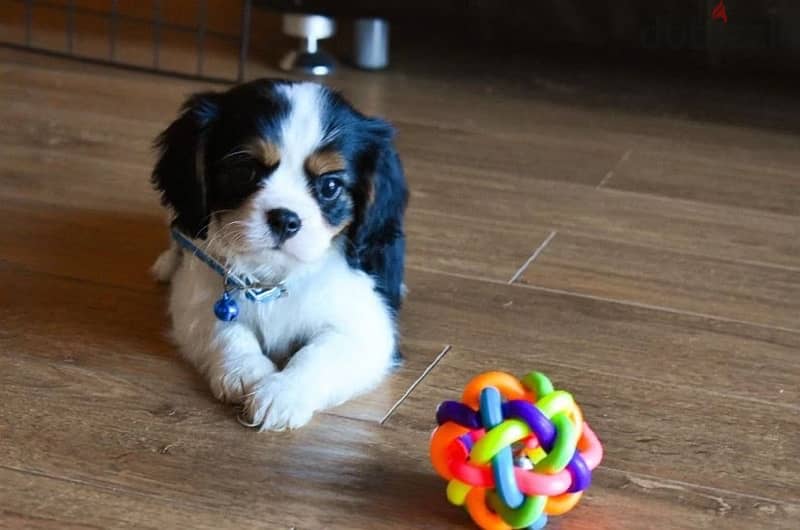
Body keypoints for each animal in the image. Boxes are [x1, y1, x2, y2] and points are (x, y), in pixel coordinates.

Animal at [152, 80, 406, 432]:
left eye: (330, 186)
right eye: (244, 171)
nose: (285, 219)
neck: (273, 275)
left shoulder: (367, 329)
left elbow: (319, 354)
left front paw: (283, 392)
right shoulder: (198, 297)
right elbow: (225, 331)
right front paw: (246, 372)